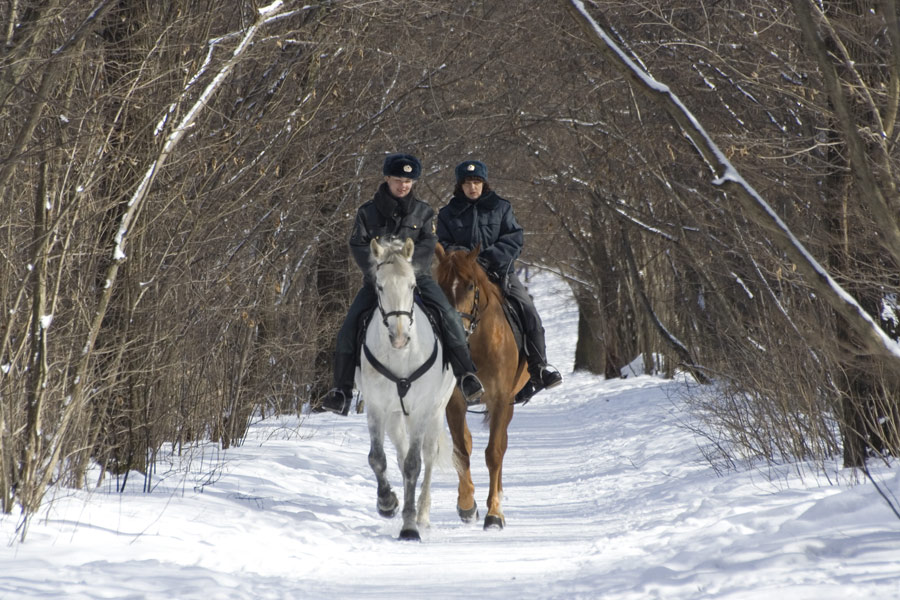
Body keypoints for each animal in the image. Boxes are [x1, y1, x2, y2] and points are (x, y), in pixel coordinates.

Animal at [358, 237, 458, 540]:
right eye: (379, 286)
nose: (400, 337)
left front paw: (410, 526)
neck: (400, 356)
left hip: (435, 413)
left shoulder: (422, 410)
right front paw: (388, 503)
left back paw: (423, 514)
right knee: (400, 456)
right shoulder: (376, 408)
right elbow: (378, 459)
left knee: (427, 457)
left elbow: (415, 464)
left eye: (413, 285)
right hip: (394, 417)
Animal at [434, 244, 532, 528]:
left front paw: (494, 513)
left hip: (509, 403)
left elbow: (494, 453)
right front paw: (467, 505)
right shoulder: (454, 403)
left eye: (470, 285)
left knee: (502, 445)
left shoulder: (499, 400)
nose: (454, 327)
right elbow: (461, 452)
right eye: (439, 285)